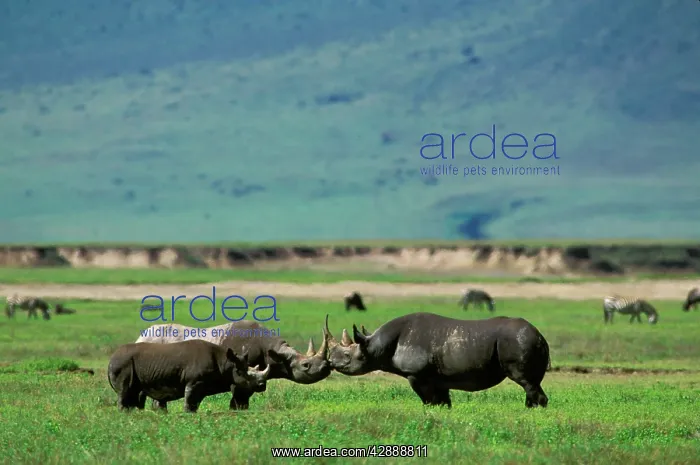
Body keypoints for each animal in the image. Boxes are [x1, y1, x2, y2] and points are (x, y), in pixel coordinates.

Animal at [107, 339, 270, 412]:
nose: (262, 385)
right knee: (124, 391)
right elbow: (189, 401)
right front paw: (187, 415)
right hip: (123, 363)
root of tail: (111, 358)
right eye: (242, 374)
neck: (226, 364)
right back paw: (123, 414)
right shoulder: (194, 382)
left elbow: (194, 404)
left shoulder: (202, 386)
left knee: (133, 393)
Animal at [135, 320, 331, 409]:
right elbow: (239, 400)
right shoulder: (240, 375)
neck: (274, 352)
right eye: (306, 365)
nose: (326, 368)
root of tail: (140, 337)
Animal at [324, 313, 551, 409]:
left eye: (349, 357)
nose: (332, 363)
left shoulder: (416, 374)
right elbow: (443, 403)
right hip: (524, 341)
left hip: (519, 341)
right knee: (531, 384)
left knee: (527, 382)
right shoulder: (439, 378)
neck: (376, 345)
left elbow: (429, 401)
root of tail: (541, 336)